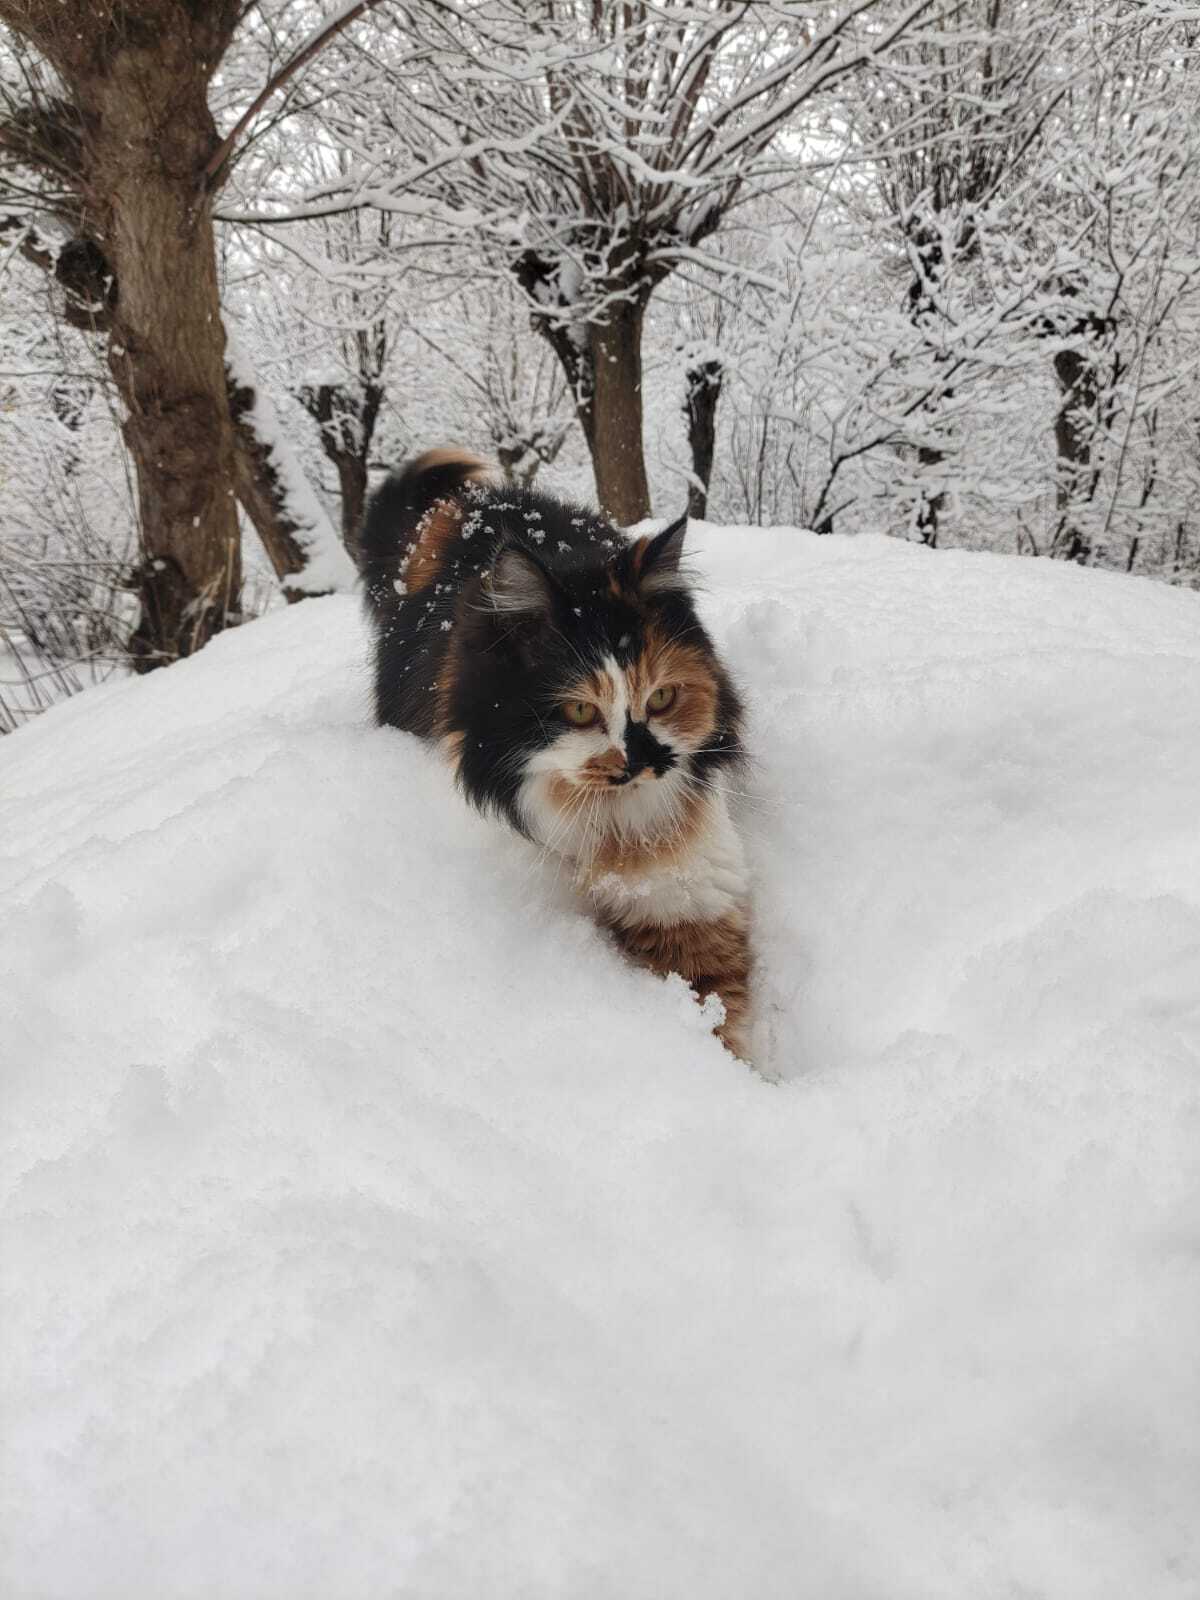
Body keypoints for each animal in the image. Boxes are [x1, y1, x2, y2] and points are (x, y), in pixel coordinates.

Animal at [361, 448, 752, 1062]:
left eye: (661, 698)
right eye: (579, 711)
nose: (643, 763)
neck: (617, 829)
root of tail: (477, 504)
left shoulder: (689, 890)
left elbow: (722, 998)